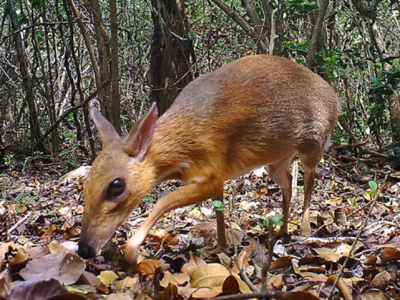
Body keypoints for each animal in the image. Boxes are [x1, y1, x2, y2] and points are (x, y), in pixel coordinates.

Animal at [77, 54, 340, 264]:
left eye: (116, 186)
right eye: (85, 184)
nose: (84, 249)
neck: (183, 142)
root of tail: (336, 100)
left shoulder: (211, 171)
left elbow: (164, 200)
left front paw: (132, 252)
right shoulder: (217, 177)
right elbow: (218, 208)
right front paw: (220, 246)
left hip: (314, 144)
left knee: (309, 181)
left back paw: (304, 229)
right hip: (277, 159)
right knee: (287, 183)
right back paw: (282, 229)